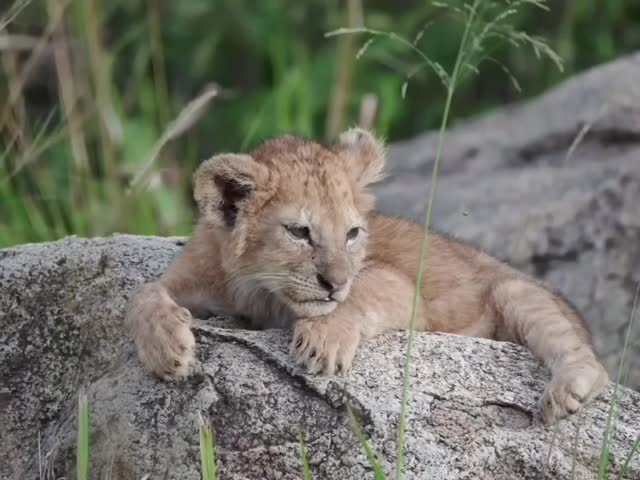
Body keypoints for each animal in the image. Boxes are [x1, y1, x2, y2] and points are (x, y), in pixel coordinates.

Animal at [125, 127, 609, 424]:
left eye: (353, 233)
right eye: (299, 232)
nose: (335, 284)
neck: (255, 288)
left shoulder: (401, 289)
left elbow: (364, 294)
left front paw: (323, 340)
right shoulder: (190, 276)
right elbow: (143, 292)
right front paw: (167, 348)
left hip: (515, 291)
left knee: (589, 360)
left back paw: (567, 391)